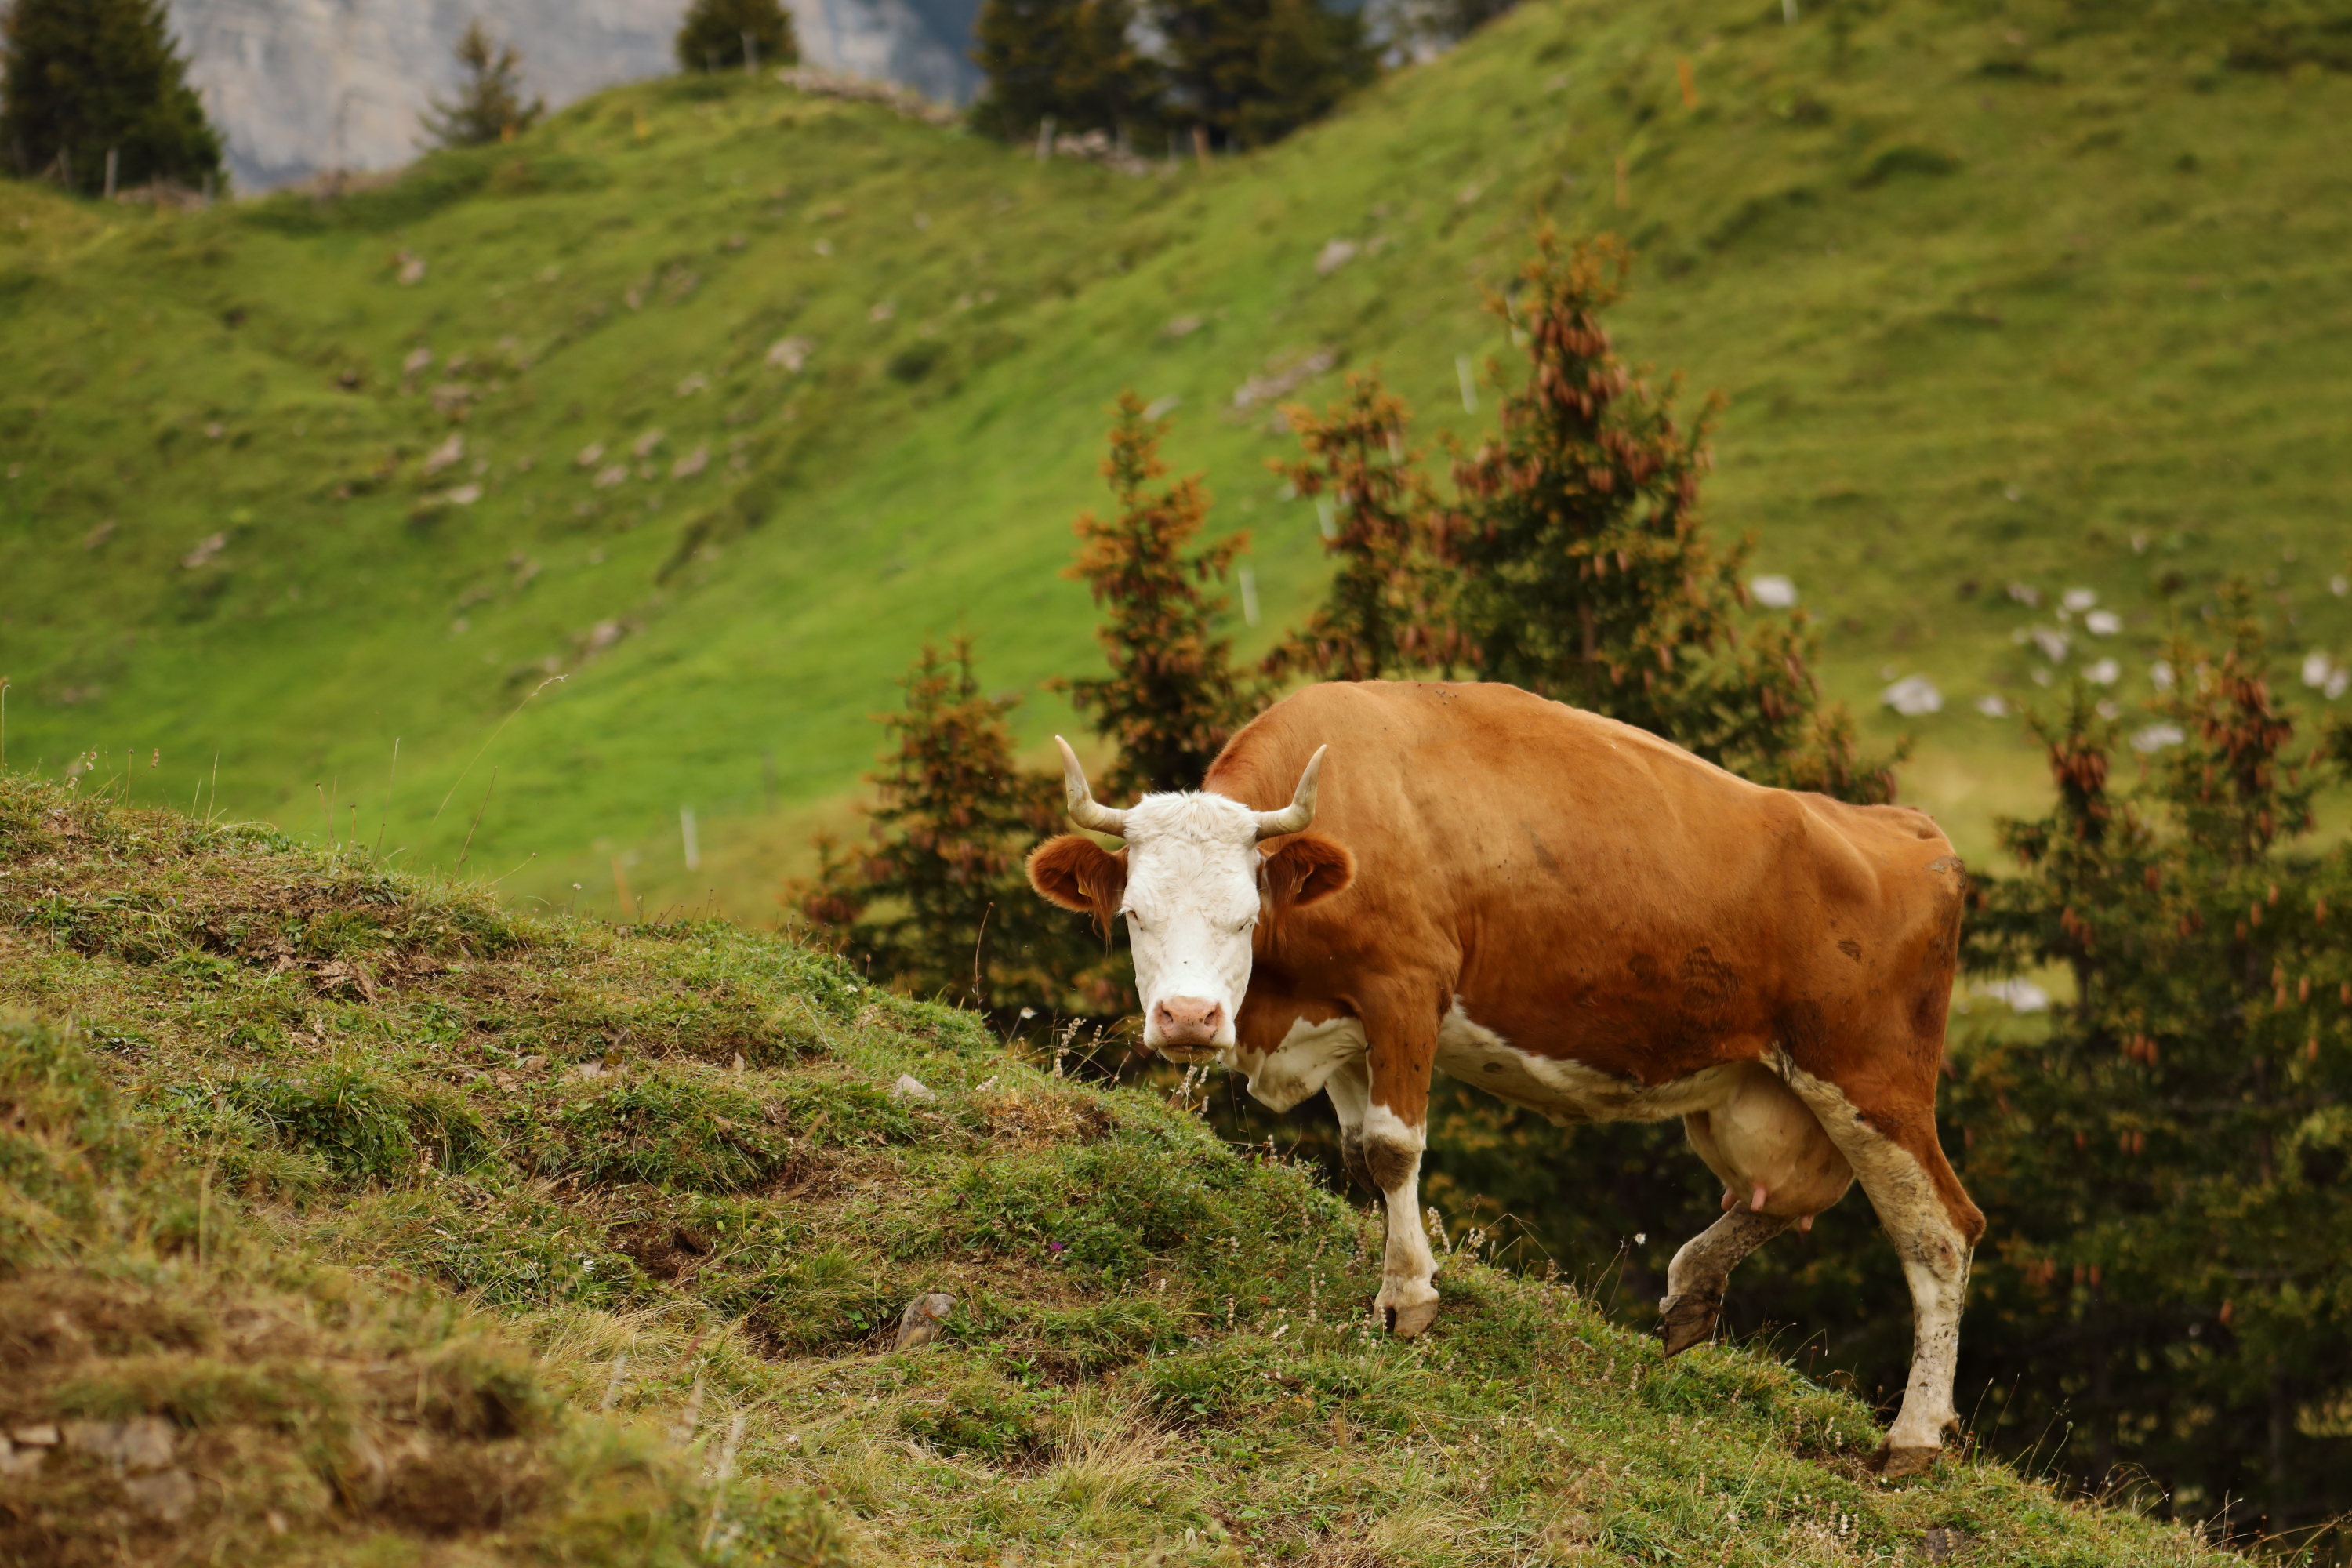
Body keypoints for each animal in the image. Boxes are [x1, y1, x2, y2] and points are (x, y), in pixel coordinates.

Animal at [1026, 680, 1984, 1476]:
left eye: (1245, 914)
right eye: (1134, 912)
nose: (1188, 1018)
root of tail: (1903, 829)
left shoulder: (1406, 987)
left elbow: (1391, 1147)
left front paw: (1408, 1296)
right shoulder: (1341, 1026)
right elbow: (1357, 1146)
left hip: (1872, 1080)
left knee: (1938, 1230)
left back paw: (1912, 1437)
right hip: (1769, 1088)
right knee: (1779, 1198)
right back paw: (1691, 1290)